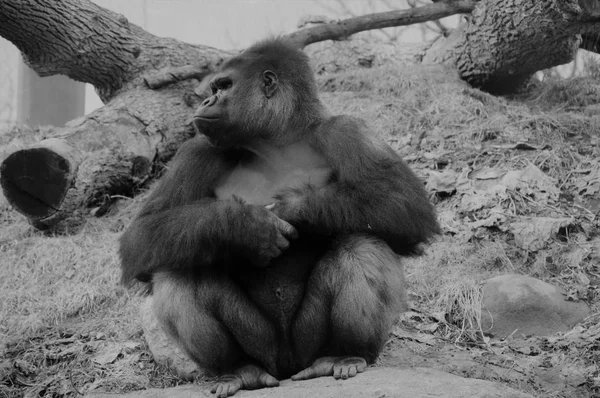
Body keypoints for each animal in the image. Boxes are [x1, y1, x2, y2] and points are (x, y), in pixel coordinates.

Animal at [119, 36, 438, 394]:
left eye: (224, 86)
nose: (206, 100)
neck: (277, 141)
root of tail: (285, 368)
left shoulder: (346, 130)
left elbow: (405, 205)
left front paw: (293, 208)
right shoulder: (198, 150)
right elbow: (142, 234)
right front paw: (245, 226)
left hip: (305, 346)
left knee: (361, 244)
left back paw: (345, 353)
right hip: (264, 349)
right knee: (179, 265)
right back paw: (235, 369)